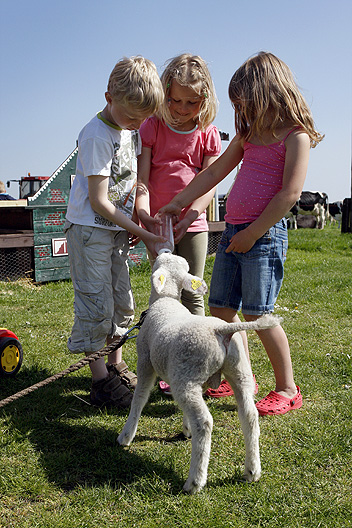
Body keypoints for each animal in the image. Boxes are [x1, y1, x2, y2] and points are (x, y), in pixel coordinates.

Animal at [117, 254, 280, 492]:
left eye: (157, 261)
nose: (162, 250)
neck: (165, 300)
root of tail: (221, 331)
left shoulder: (146, 361)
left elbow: (139, 398)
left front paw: (126, 435)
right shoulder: (196, 380)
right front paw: (186, 429)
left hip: (187, 377)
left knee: (204, 422)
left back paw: (195, 481)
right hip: (234, 371)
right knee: (249, 415)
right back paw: (252, 471)